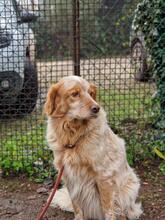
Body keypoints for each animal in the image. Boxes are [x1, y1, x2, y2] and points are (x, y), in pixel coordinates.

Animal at [44, 76, 142, 220]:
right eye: (75, 94)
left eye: (91, 93)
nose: (97, 108)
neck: (73, 136)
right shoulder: (69, 176)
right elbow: (77, 207)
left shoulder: (104, 175)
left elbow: (109, 210)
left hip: (130, 186)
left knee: (123, 211)